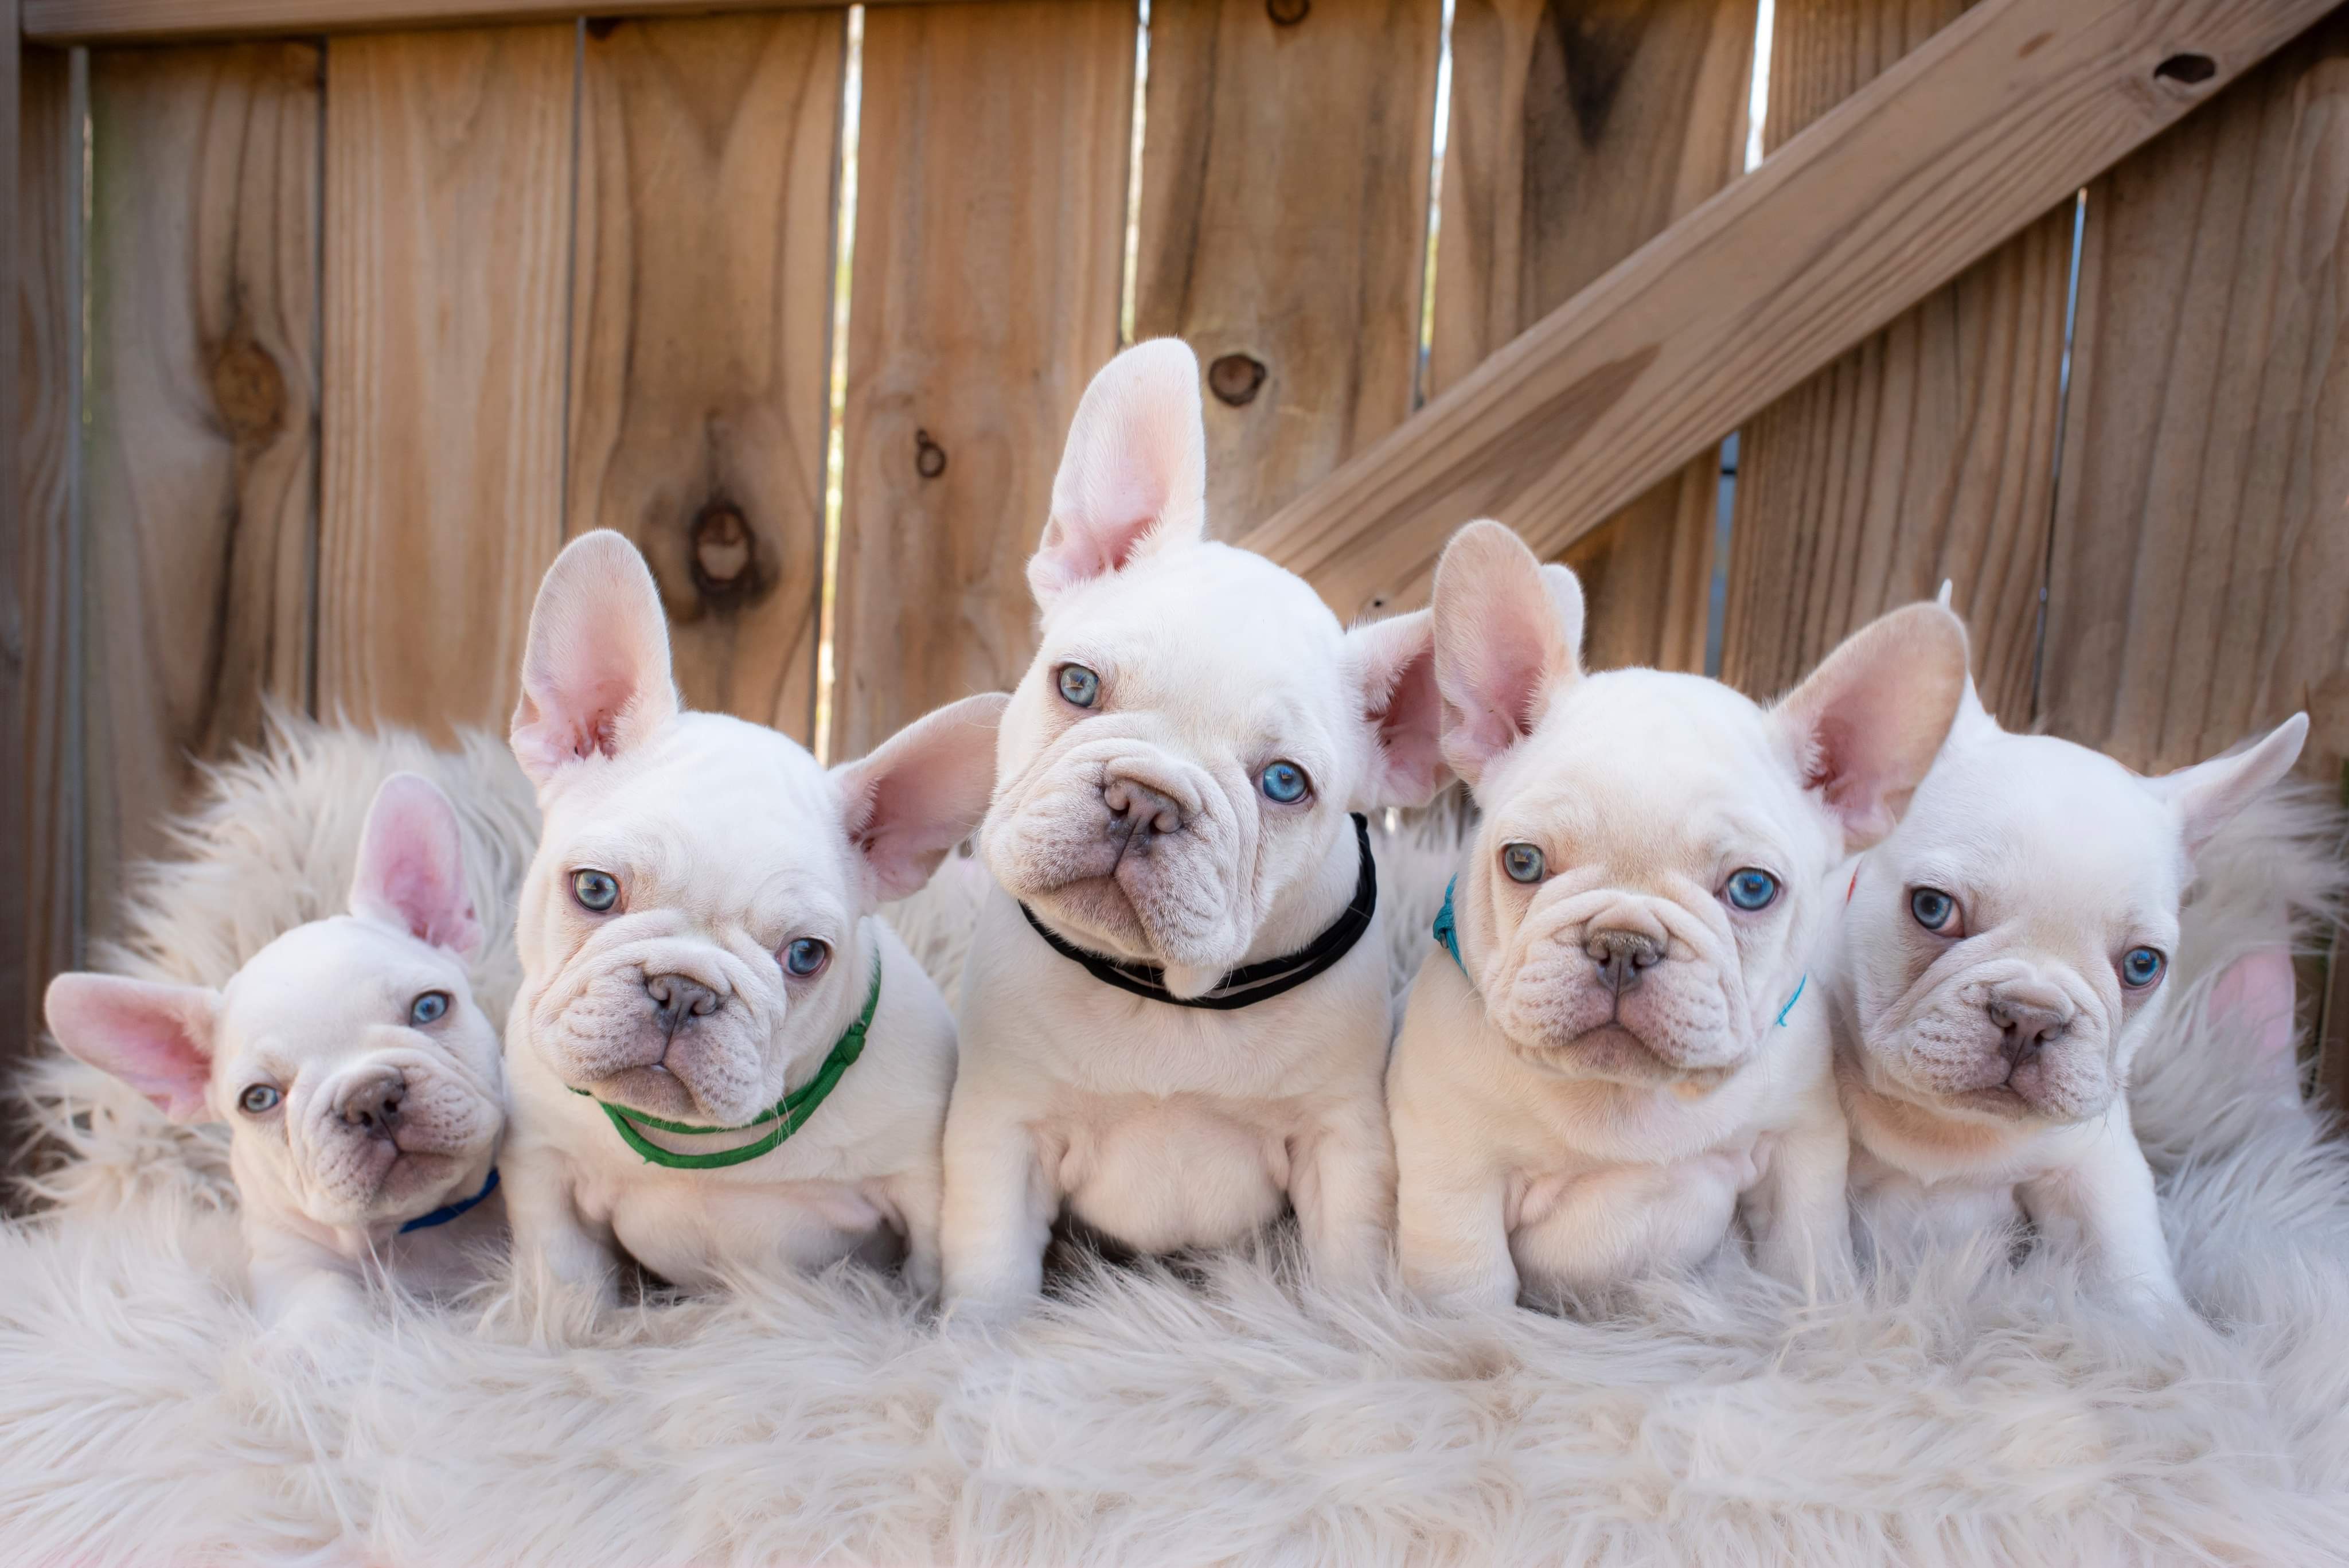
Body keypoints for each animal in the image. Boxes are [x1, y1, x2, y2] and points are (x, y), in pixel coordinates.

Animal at [44, 773, 506, 1324]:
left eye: (430, 1008)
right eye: (259, 1099)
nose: (369, 1097)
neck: (416, 1230)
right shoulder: (287, 1264)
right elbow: (323, 1301)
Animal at [499, 530, 1003, 1303]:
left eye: (805, 955)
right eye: (595, 889)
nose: (683, 989)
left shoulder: (924, 1188)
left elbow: (930, 1272)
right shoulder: (543, 1163)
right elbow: (567, 1272)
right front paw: (569, 1318)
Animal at [939, 340, 1448, 1316]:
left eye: (1284, 783)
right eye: (1077, 683)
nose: (1146, 800)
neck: (1167, 1001)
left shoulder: (1342, 1142)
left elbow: (1347, 1262)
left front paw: (1348, 1332)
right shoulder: (1000, 1130)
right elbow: (990, 1267)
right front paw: (979, 1338)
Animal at [1389, 521, 1970, 1309]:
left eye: (1752, 888)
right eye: (1524, 862)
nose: (1622, 944)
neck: (1627, 1099)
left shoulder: (1799, 1144)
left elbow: (1803, 1246)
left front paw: (1815, 1306)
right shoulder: (1454, 1176)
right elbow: (1469, 1291)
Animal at [1830, 605, 2308, 1312]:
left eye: (2142, 965)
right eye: (1933, 908)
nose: (2031, 1016)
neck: (1952, 1130)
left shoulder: (2095, 1170)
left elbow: (2129, 1269)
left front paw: (2161, 1329)